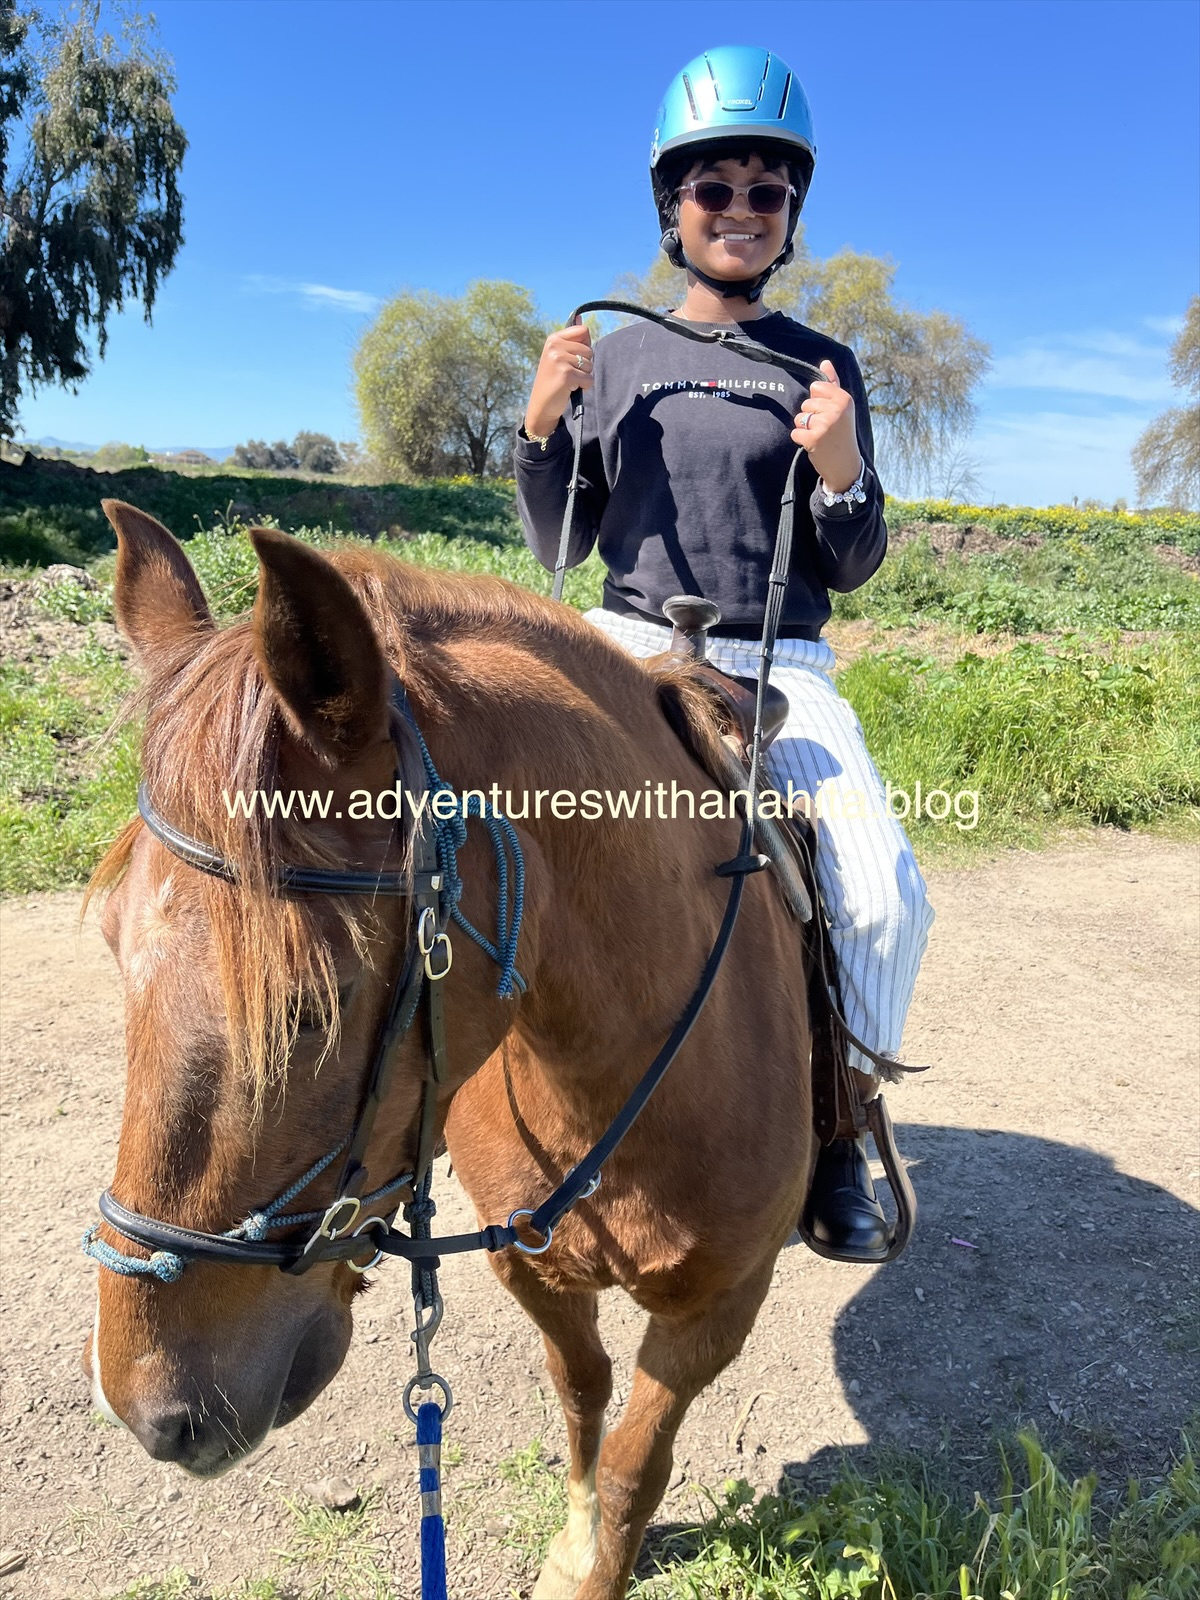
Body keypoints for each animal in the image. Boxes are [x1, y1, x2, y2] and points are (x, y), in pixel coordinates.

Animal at [82, 499, 816, 1599]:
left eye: (316, 1002)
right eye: (111, 945)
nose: (151, 1411)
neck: (622, 1079)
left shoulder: (718, 1310)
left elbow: (639, 1454)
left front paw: (595, 1563)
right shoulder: (534, 1270)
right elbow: (581, 1391)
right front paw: (576, 1539)